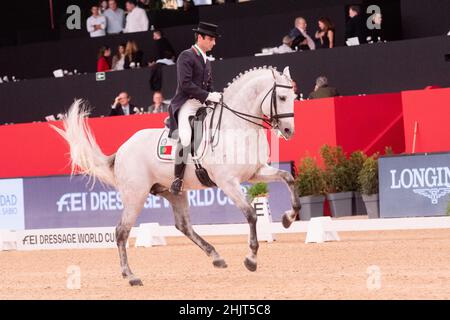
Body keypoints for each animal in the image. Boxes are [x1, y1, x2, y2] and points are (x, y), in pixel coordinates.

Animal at [53, 66, 302, 286]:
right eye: (281, 97)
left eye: (293, 96)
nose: (289, 131)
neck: (237, 127)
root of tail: (123, 149)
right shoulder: (228, 182)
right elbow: (251, 214)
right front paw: (251, 259)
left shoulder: (256, 172)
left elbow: (288, 179)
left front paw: (288, 218)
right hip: (136, 195)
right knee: (121, 231)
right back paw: (131, 276)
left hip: (174, 192)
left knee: (183, 225)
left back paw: (216, 257)